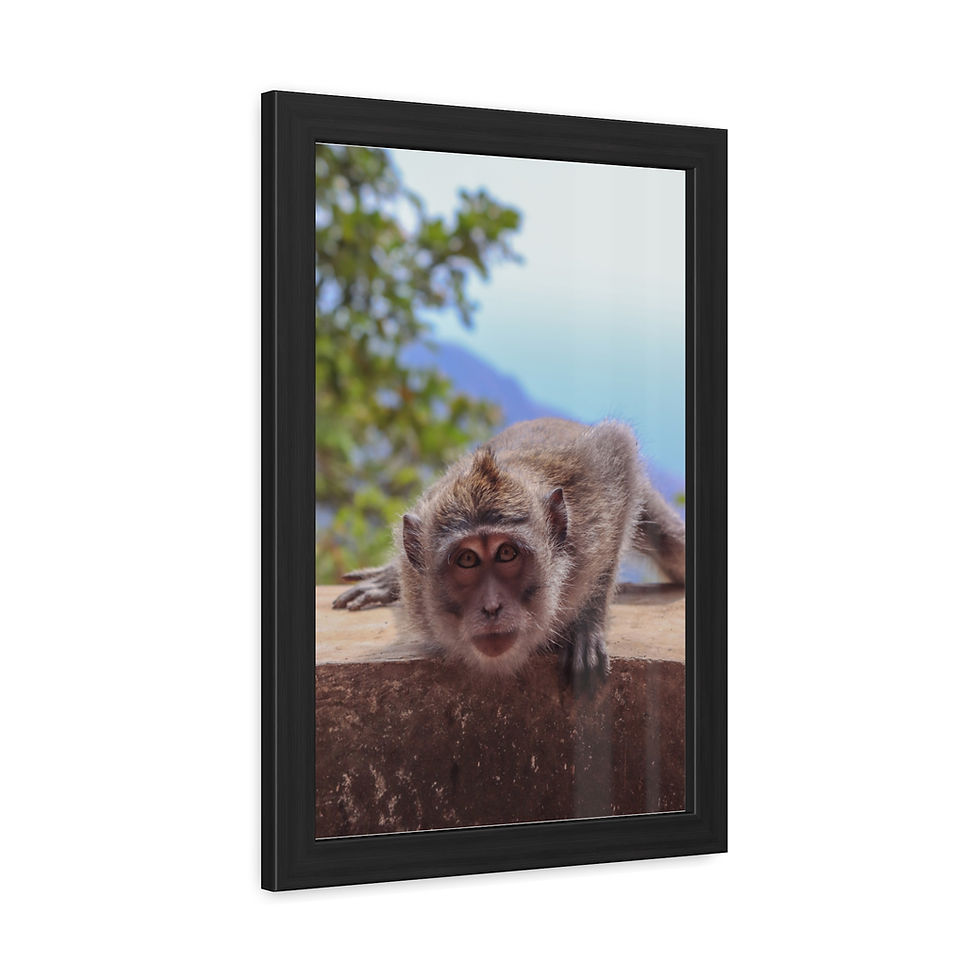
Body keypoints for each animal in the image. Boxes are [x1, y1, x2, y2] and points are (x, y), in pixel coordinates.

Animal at [332, 418, 685, 690]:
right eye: (468, 560)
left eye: (506, 553)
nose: (491, 607)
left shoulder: (591, 503)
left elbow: (619, 451)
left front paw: (585, 626)